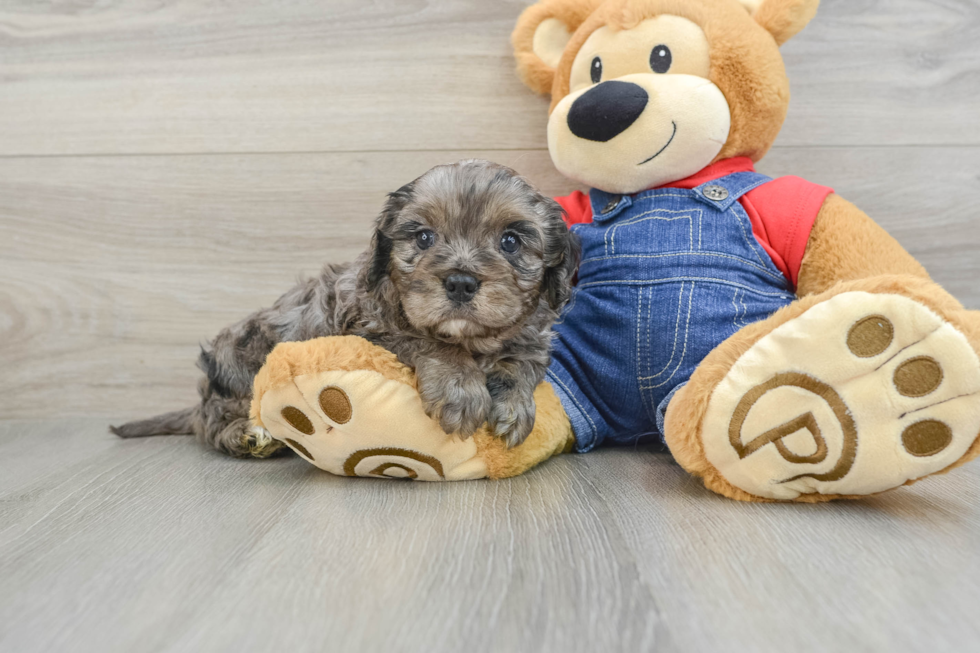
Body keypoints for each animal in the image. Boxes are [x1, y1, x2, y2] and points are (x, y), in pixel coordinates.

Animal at [111, 160, 580, 456]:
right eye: (424, 238)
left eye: (510, 241)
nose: (461, 282)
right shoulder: (370, 328)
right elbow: (430, 343)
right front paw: (460, 389)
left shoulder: (532, 339)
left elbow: (521, 364)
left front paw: (514, 406)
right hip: (238, 363)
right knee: (210, 421)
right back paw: (245, 435)